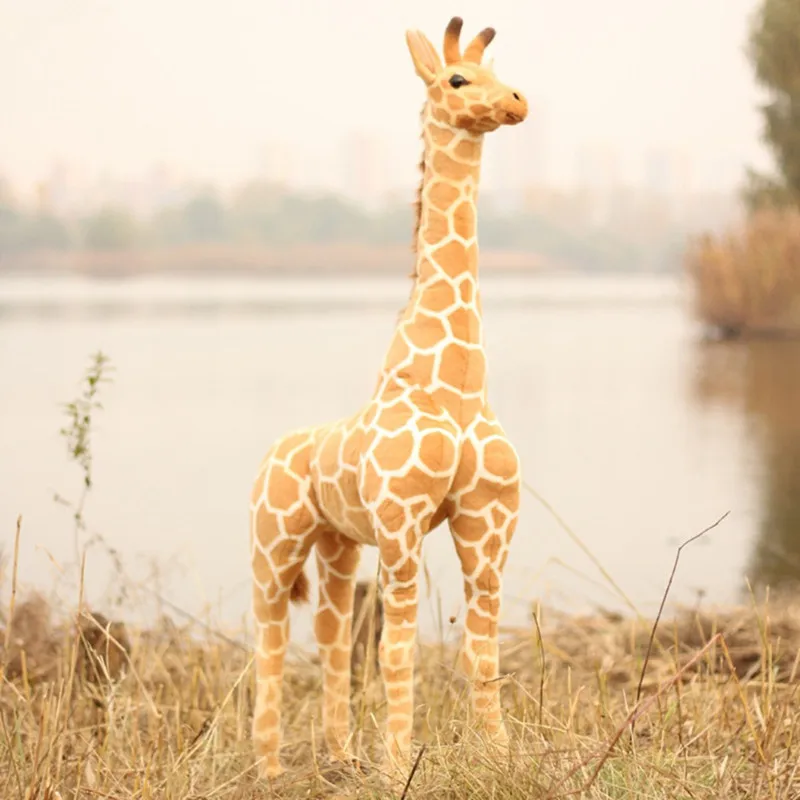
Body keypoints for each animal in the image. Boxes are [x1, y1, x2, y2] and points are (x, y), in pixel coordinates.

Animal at [249, 15, 528, 782]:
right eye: (458, 79)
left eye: (502, 72)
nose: (517, 102)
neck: (456, 385)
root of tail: (273, 451)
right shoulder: (402, 526)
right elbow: (397, 652)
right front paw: (398, 764)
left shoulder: (489, 524)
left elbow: (483, 649)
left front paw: (501, 754)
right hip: (273, 545)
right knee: (270, 643)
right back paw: (270, 769)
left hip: (337, 546)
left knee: (330, 635)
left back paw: (340, 756)